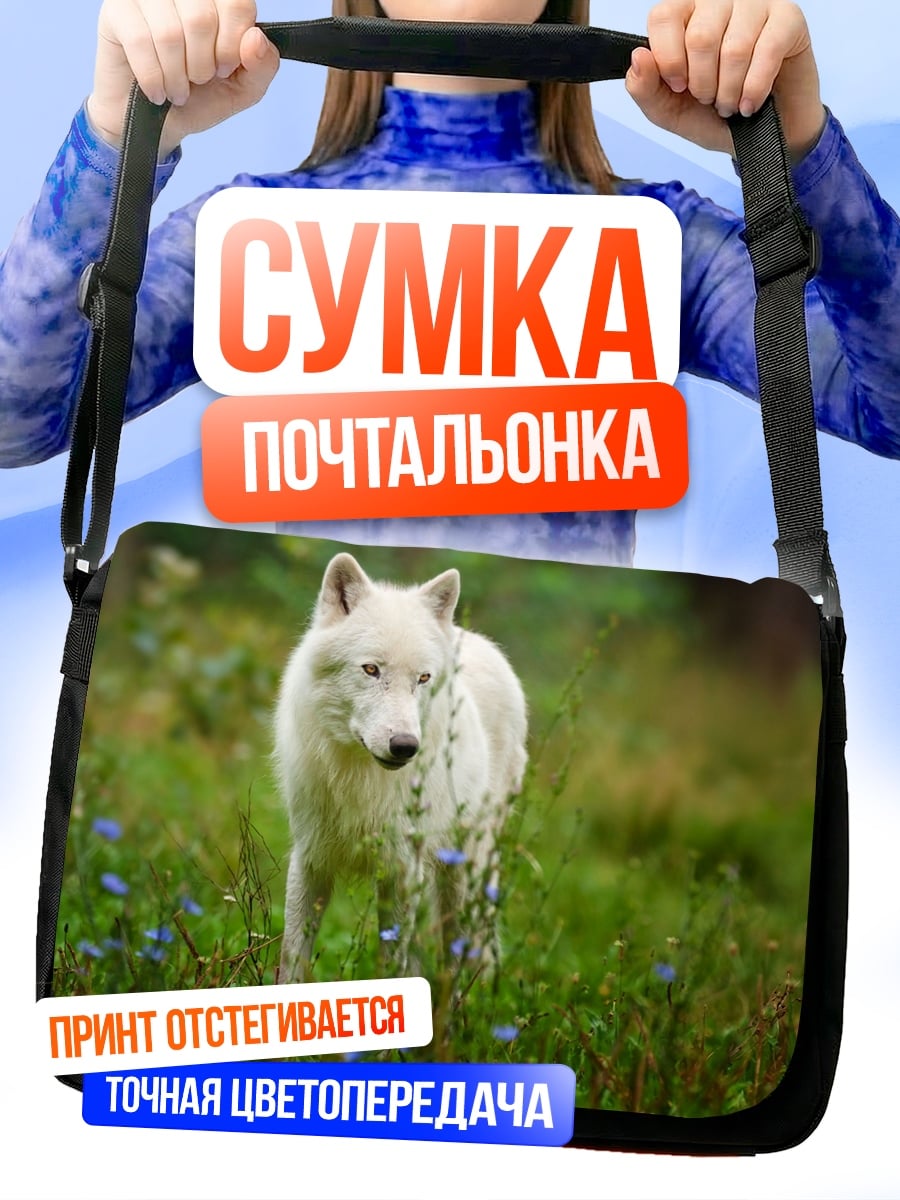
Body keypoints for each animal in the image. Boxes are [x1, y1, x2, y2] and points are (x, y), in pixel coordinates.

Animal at [274, 552, 528, 983]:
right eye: (371, 670)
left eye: (423, 678)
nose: (405, 746)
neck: (361, 779)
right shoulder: (310, 859)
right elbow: (293, 957)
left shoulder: (401, 870)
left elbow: (392, 965)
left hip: (465, 872)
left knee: (462, 953)